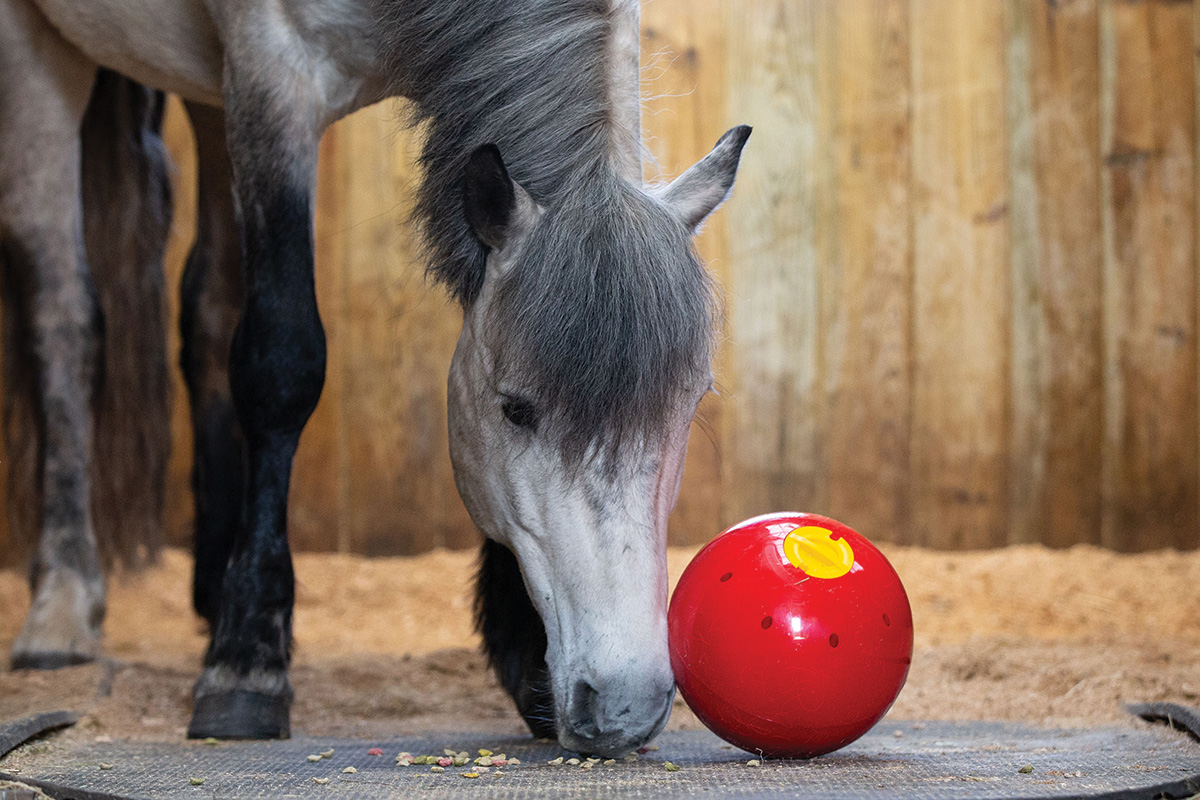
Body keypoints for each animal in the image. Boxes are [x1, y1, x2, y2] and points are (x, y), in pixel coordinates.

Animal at [0, 0, 749, 756]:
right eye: (514, 409)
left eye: (687, 407)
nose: (626, 704)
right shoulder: (274, 70)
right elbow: (280, 359)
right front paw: (246, 666)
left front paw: (524, 658)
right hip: (43, 59)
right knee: (64, 317)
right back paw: (63, 607)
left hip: (211, 96)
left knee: (208, 307)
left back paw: (214, 588)